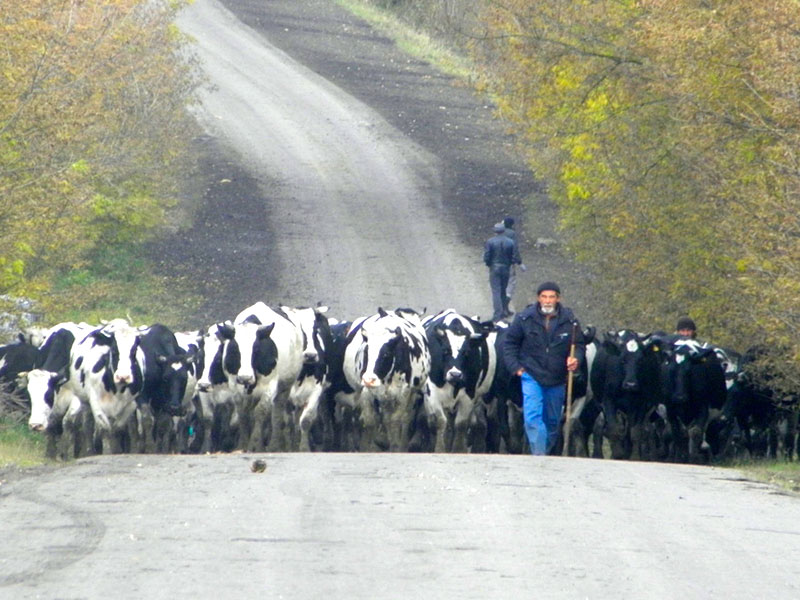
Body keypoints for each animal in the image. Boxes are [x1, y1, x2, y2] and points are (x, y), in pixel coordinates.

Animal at [344, 308, 432, 452]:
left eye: (386, 354)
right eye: (366, 352)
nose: (369, 379)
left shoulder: (404, 394)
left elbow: (396, 421)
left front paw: (395, 445)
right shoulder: (366, 392)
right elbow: (370, 420)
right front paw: (371, 444)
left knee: (403, 419)